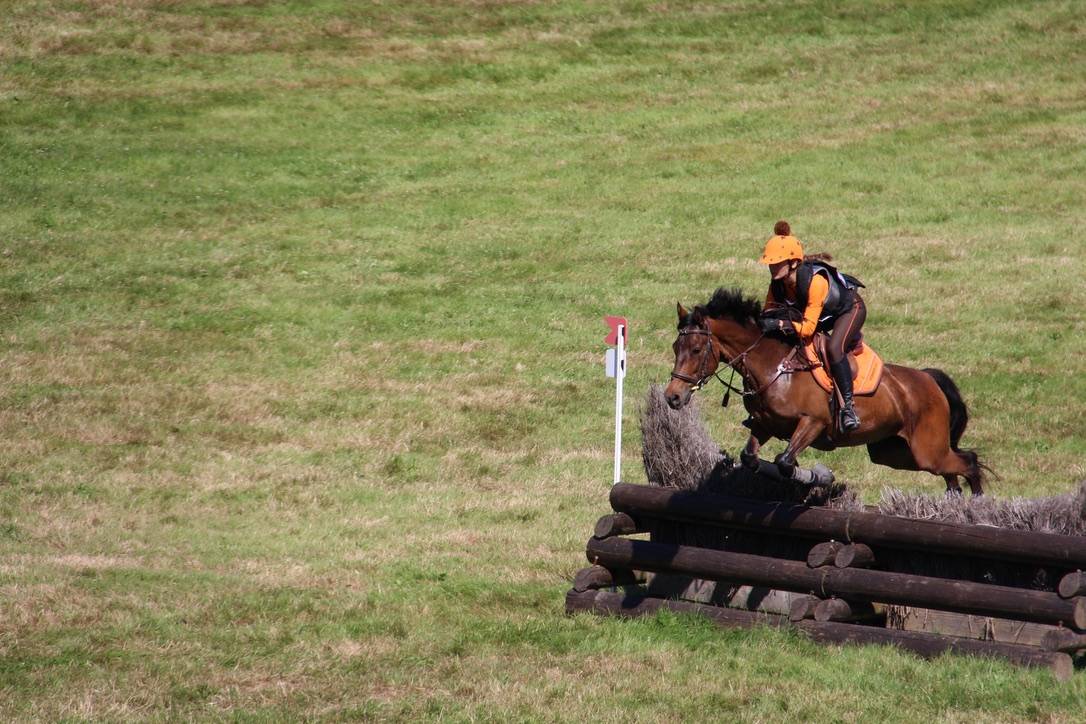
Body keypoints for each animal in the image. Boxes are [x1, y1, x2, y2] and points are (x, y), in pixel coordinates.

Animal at [664, 288, 987, 496]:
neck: (773, 367)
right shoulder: (765, 425)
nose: (672, 396)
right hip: (895, 453)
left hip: (926, 450)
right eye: (675, 347)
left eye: (696, 349)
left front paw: (819, 476)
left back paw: (978, 506)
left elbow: (784, 461)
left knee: (968, 462)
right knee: (952, 471)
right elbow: (752, 458)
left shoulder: (813, 422)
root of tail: (928, 380)